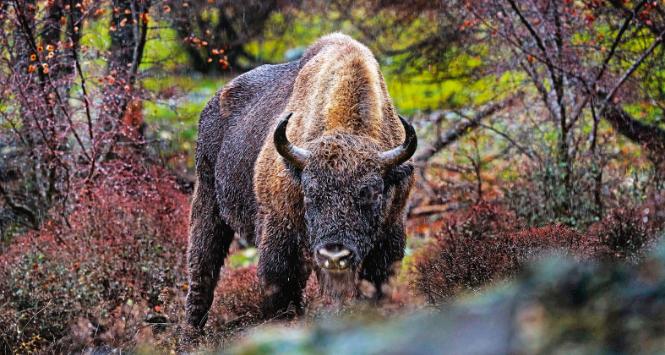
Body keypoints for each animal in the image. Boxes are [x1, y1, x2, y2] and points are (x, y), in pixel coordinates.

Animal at [184, 34, 418, 330]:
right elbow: (282, 292)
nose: (334, 255)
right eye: (309, 192)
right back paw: (191, 331)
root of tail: (214, 102)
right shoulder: (280, 237)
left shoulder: (389, 237)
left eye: (373, 193)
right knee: (203, 268)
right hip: (207, 200)